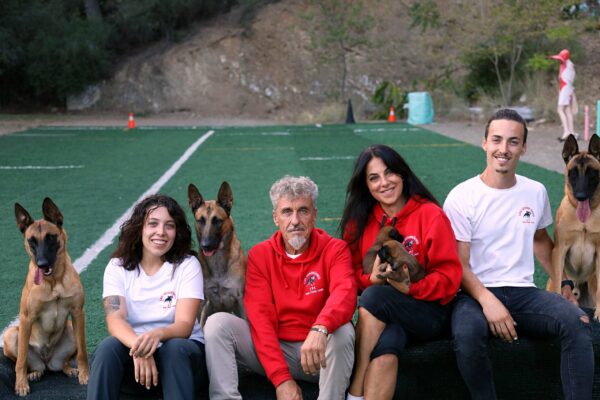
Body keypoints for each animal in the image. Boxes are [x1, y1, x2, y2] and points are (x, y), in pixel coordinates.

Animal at [3, 198, 89, 396]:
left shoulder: (77, 313)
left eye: (51, 237)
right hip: (11, 334)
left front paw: (85, 375)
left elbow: (82, 352)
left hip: (71, 328)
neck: (54, 282)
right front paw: (20, 385)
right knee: (27, 363)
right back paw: (32, 374)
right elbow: (21, 360)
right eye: (31, 241)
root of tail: (47, 361)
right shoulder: (26, 318)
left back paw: (69, 369)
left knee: (65, 362)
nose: (42, 264)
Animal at [552, 134, 600, 318]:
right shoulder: (559, 249)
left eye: (591, 173)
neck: (584, 222)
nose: (580, 196)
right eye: (573, 173)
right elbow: (558, 282)